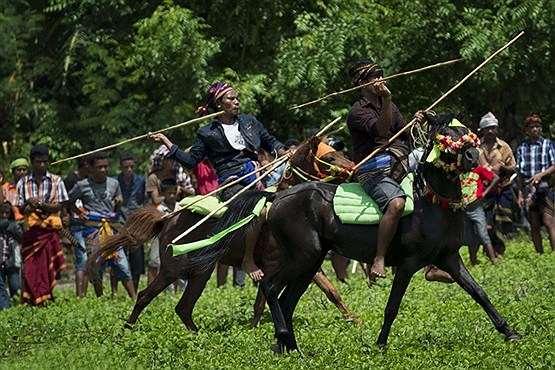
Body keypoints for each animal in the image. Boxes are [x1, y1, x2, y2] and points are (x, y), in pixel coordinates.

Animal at [90, 134, 360, 330]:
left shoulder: (305, 262)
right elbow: (261, 301)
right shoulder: (273, 264)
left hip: (201, 270)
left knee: (184, 307)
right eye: (331, 157)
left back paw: (196, 335)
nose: (354, 168)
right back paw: (127, 329)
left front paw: (355, 320)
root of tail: (168, 219)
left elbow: (332, 291)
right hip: (172, 269)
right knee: (145, 296)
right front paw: (254, 330)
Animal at [193, 117, 524, 352]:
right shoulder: (408, 264)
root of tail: (277, 196)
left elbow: (479, 293)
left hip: (310, 262)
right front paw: (380, 343)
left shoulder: (450, 258)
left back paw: (291, 348)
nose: (472, 156)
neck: (432, 203)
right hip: (303, 257)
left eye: (466, 132)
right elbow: (392, 306)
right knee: (271, 288)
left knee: (286, 300)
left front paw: (509, 332)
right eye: (447, 138)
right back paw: (286, 339)